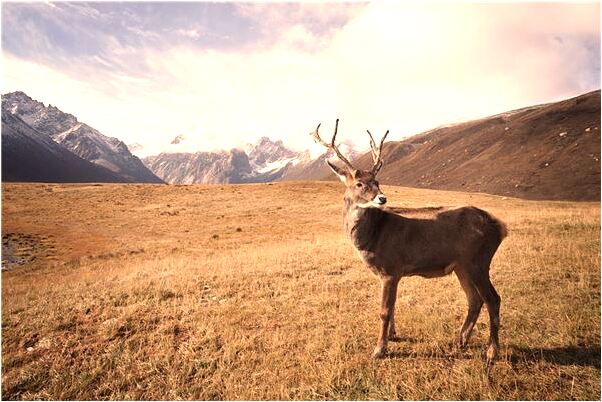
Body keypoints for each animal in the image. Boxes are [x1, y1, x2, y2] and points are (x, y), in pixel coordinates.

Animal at [312, 118, 504, 364]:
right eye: (359, 184)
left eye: (377, 180)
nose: (382, 198)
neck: (372, 236)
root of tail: (499, 227)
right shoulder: (391, 273)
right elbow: (392, 307)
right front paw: (392, 336)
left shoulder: (391, 268)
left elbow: (384, 310)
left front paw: (379, 349)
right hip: (462, 265)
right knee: (474, 299)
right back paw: (459, 341)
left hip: (478, 260)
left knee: (493, 299)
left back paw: (492, 351)